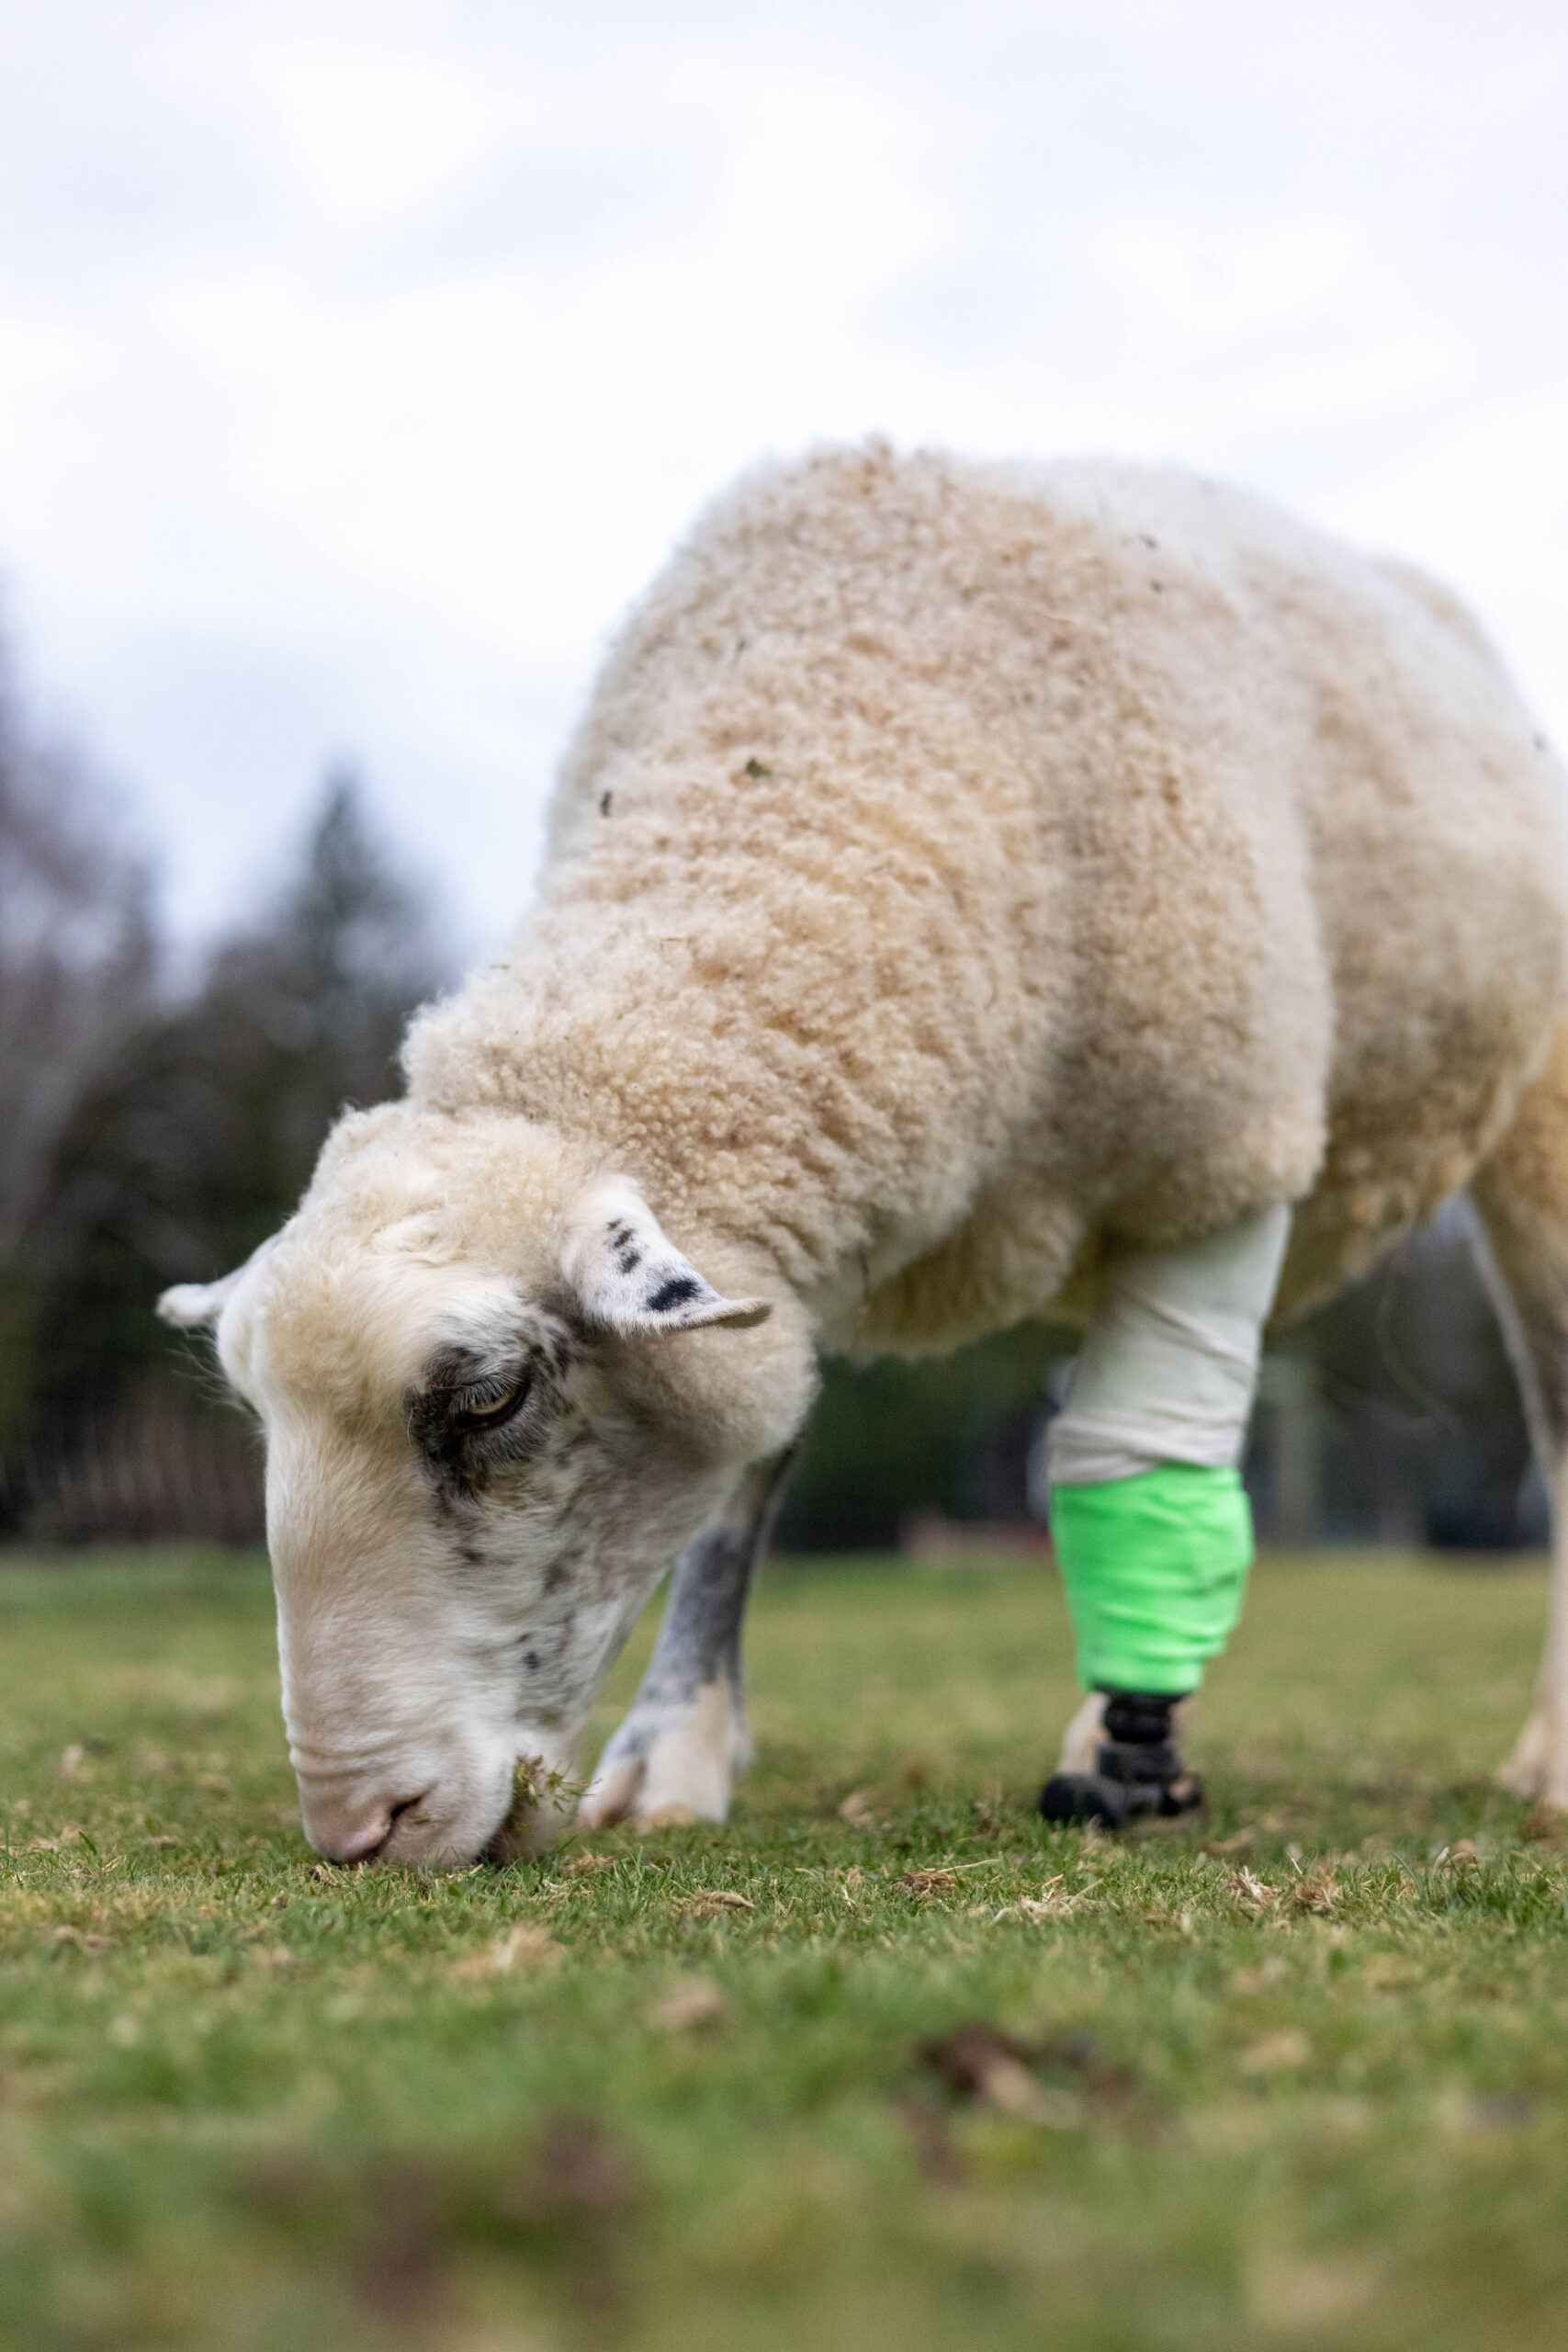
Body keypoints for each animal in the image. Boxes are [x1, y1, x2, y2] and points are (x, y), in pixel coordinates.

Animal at [160, 441, 1568, 1864]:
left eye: (490, 1400)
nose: (358, 1828)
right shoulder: (791, 1223)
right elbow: (743, 1486)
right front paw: (672, 1756)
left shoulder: (1215, 1157)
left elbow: (1139, 1459)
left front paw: (1129, 1768)